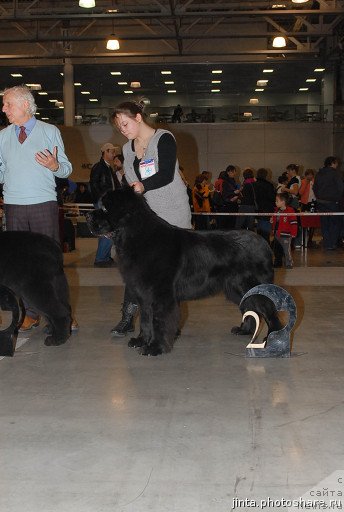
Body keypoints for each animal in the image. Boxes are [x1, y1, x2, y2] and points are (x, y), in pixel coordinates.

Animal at [84, 187, 280, 356]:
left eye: (105, 207)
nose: (87, 215)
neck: (136, 235)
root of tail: (264, 243)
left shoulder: (161, 294)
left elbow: (159, 321)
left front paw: (155, 347)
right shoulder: (143, 293)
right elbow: (145, 319)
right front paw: (141, 340)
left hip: (252, 285)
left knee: (268, 310)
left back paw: (274, 340)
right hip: (236, 288)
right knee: (250, 307)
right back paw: (244, 330)